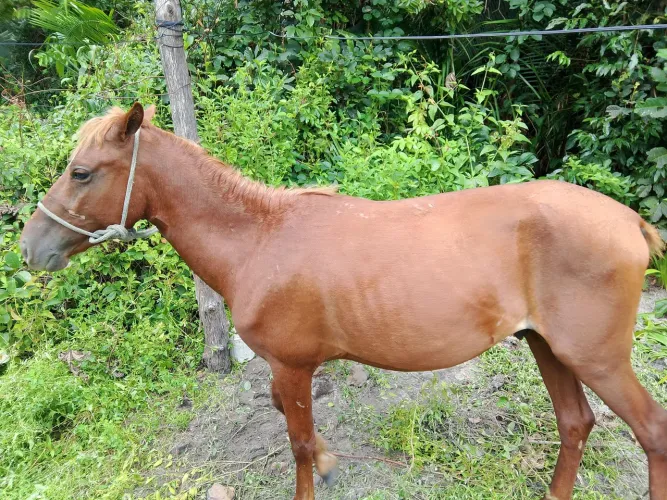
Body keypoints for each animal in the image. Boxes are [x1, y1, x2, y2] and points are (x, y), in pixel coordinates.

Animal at [19, 103, 667, 500]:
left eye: (81, 172)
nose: (30, 248)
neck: (259, 238)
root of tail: (630, 222)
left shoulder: (292, 364)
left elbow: (298, 441)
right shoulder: (289, 366)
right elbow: (287, 418)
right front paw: (331, 464)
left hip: (595, 358)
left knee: (651, 430)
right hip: (547, 345)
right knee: (575, 422)